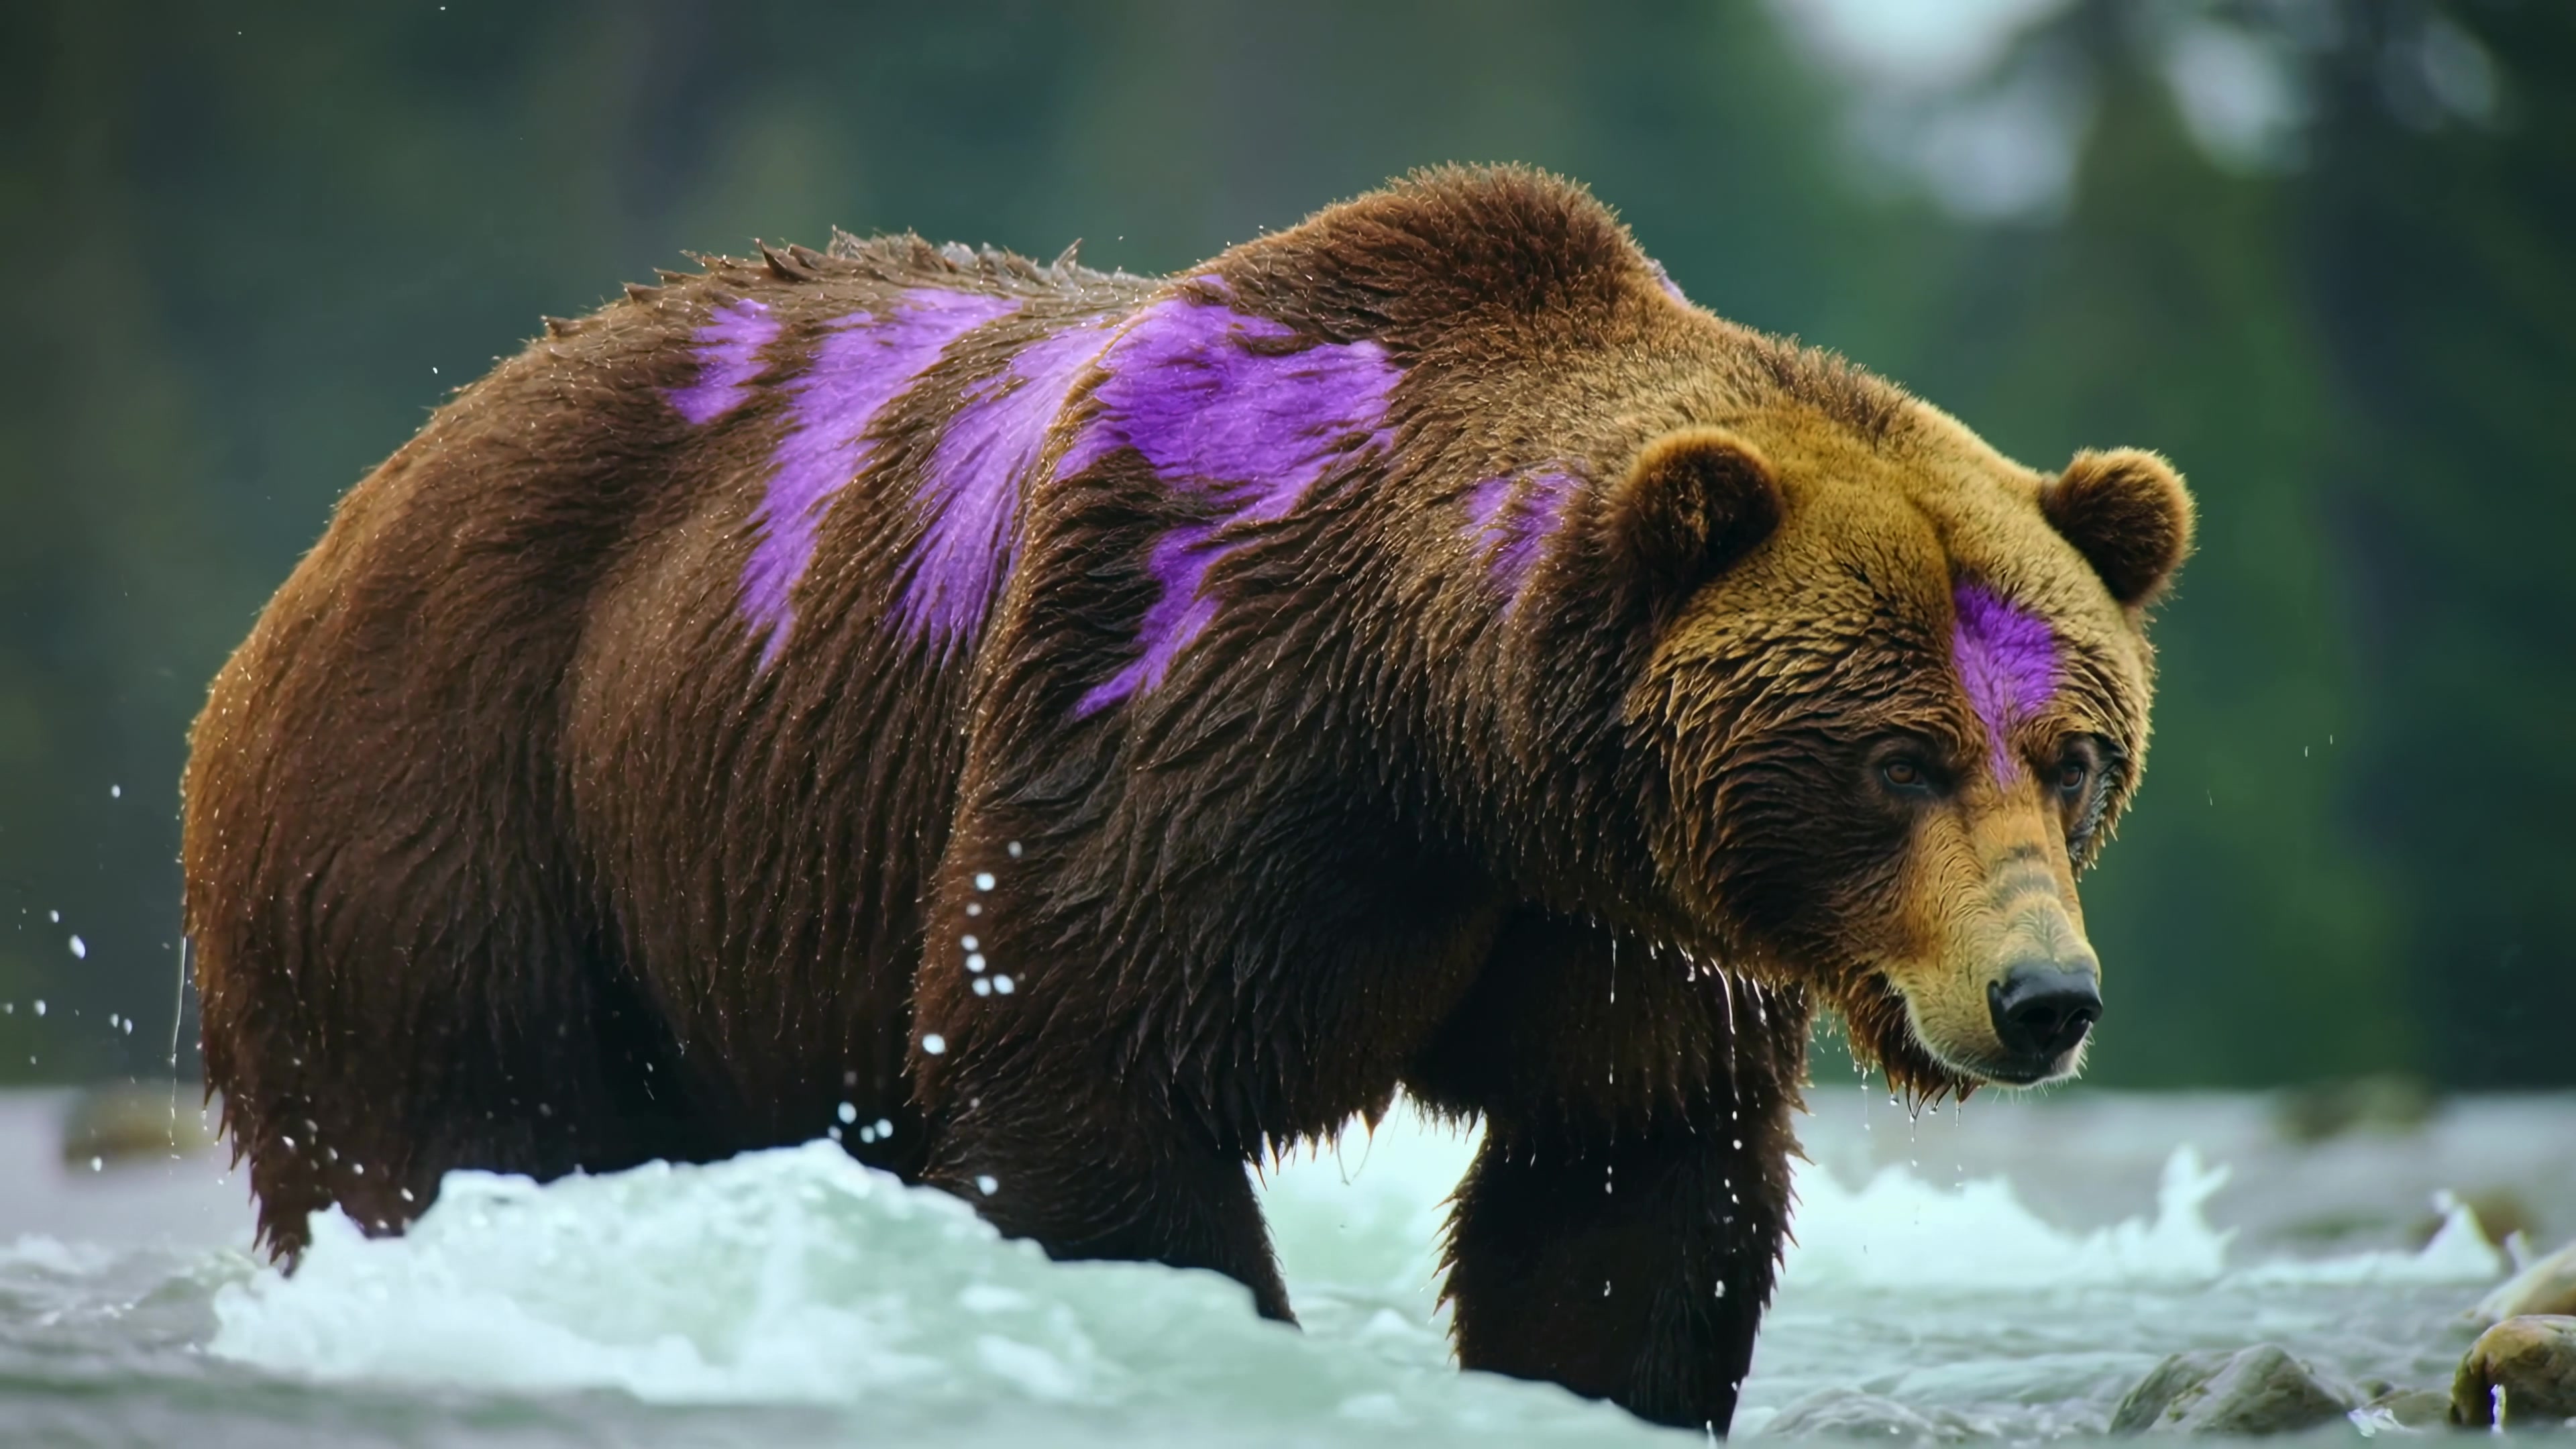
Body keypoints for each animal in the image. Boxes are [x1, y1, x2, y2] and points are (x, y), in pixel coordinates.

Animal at [181, 165, 2191, 1433]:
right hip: (462, 805)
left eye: (2073, 753)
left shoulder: (1606, 923)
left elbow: (1623, 1187)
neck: (1440, 737)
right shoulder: (1171, 712)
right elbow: (1087, 1088)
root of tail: (354, 512)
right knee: (449, 1131)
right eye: (1895, 754)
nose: (2040, 997)